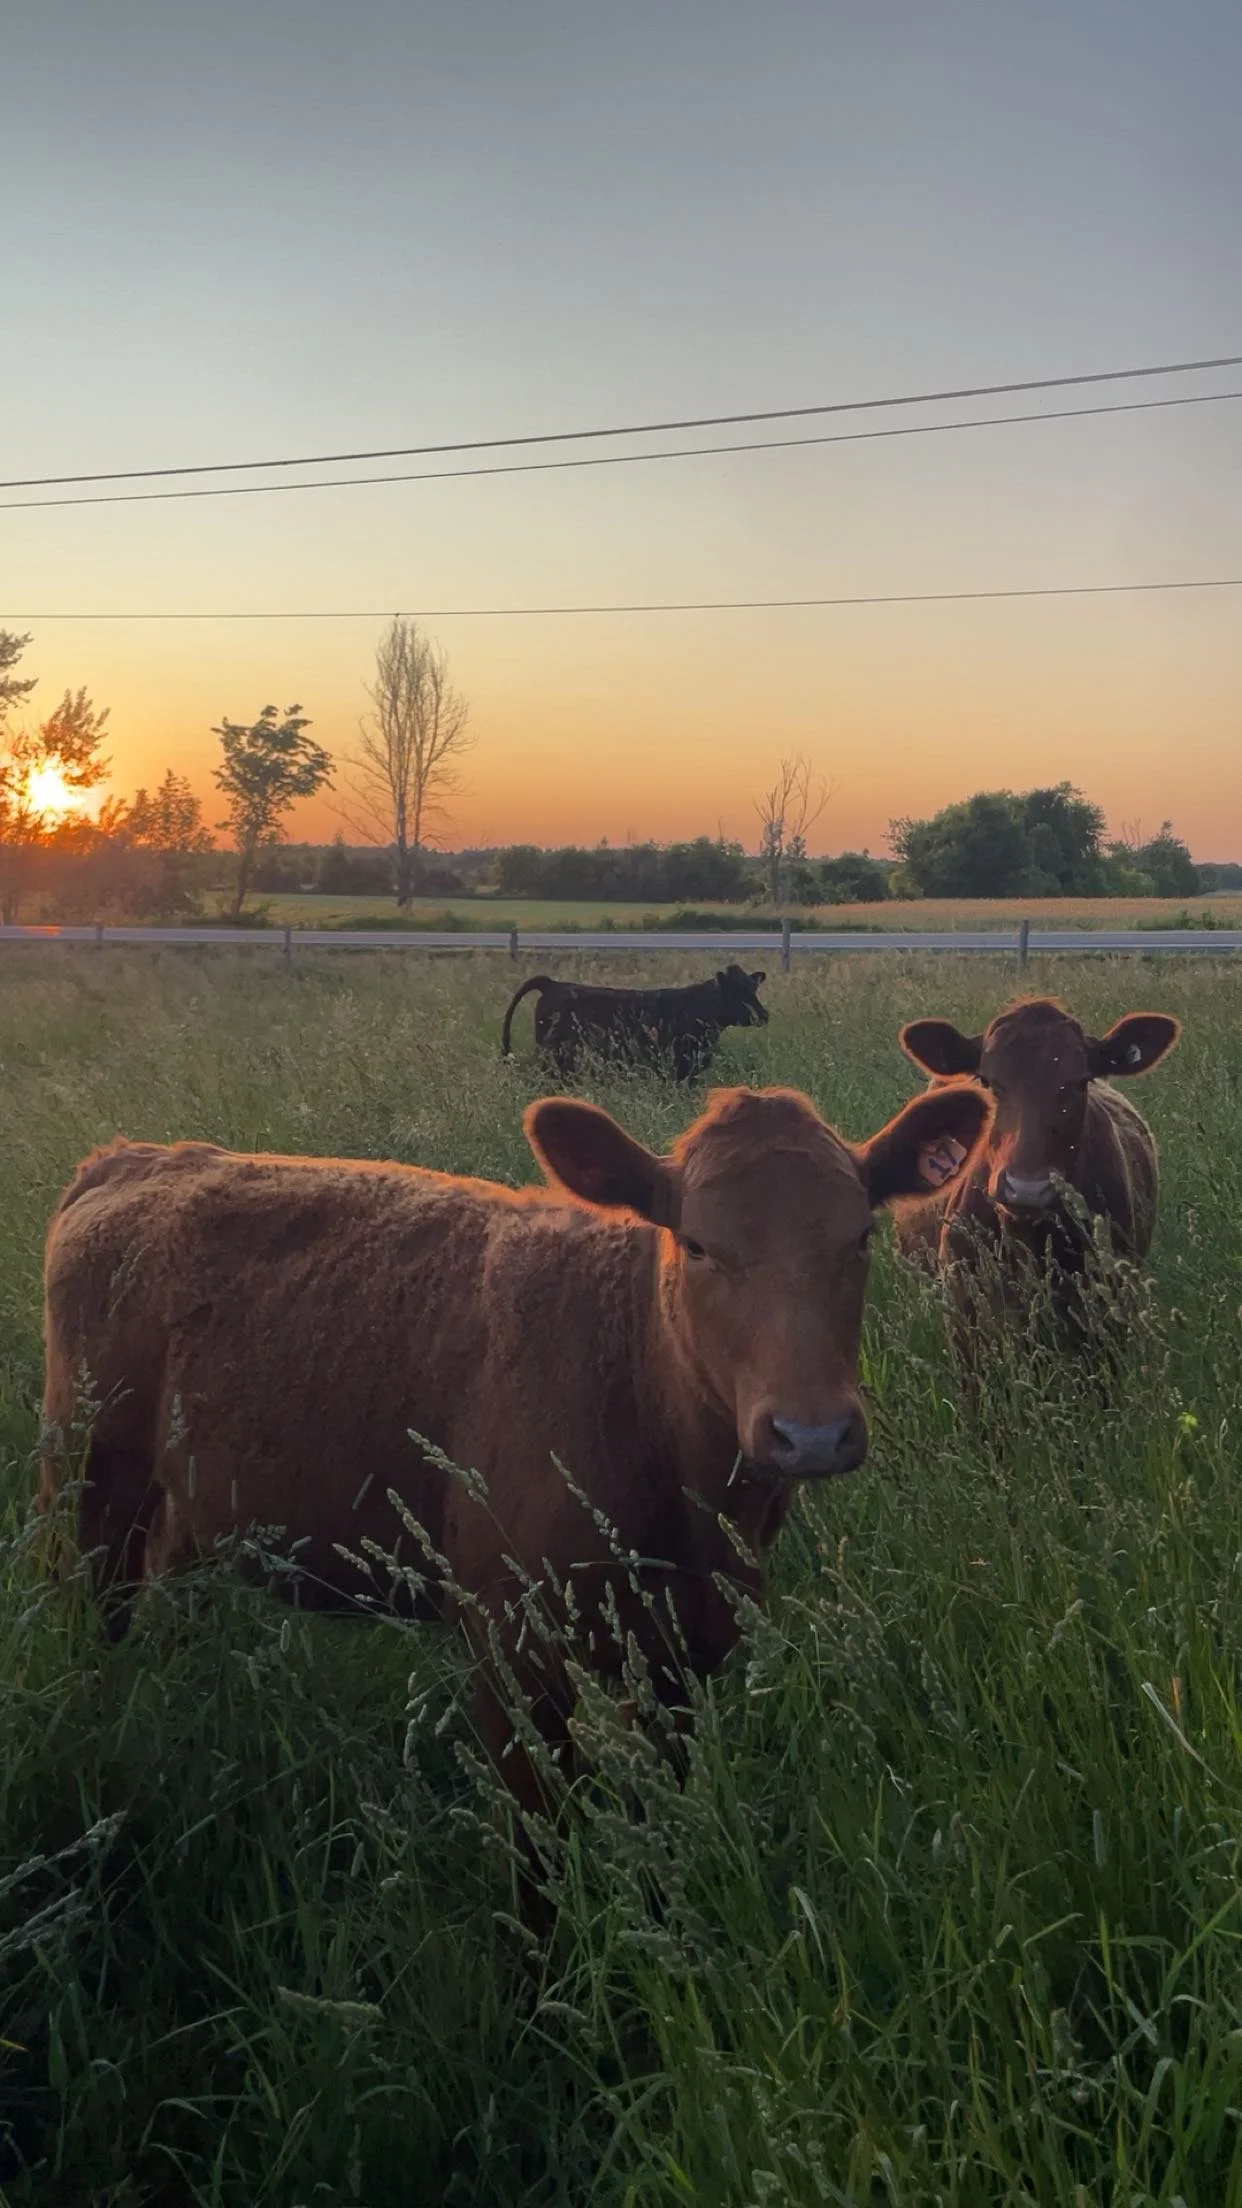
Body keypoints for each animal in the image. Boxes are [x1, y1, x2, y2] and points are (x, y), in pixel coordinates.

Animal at [40, 1080, 989, 1822]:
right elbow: (538, 1852)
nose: (812, 1433)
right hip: (88, 1490)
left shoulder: (684, 1652)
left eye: (859, 1238)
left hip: (183, 1511)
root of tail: (134, 1159)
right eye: (697, 1244)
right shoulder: (509, 1641)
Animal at [500, 964, 769, 1080]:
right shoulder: (676, 1068)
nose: (763, 1015)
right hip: (552, 1056)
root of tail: (552, 983)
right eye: (736, 991)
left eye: (753, 988)